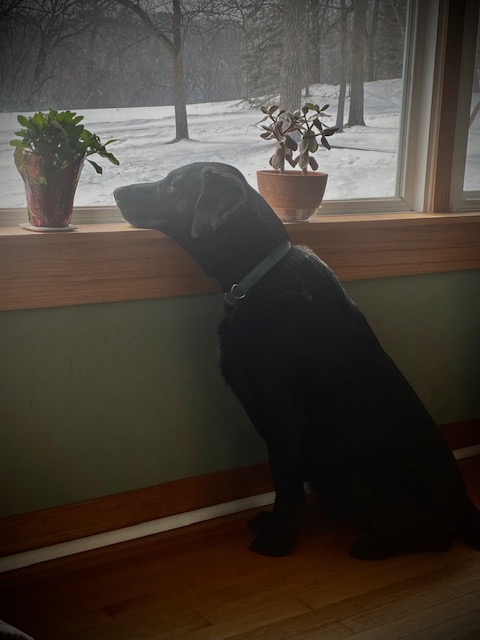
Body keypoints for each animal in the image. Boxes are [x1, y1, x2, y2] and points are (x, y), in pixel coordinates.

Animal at [114, 161, 480, 559]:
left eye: (174, 184)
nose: (117, 192)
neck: (255, 276)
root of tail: (464, 504)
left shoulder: (283, 417)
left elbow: (287, 487)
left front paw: (278, 540)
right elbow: (280, 484)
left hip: (360, 471)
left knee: (437, 535)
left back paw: (374, 545)